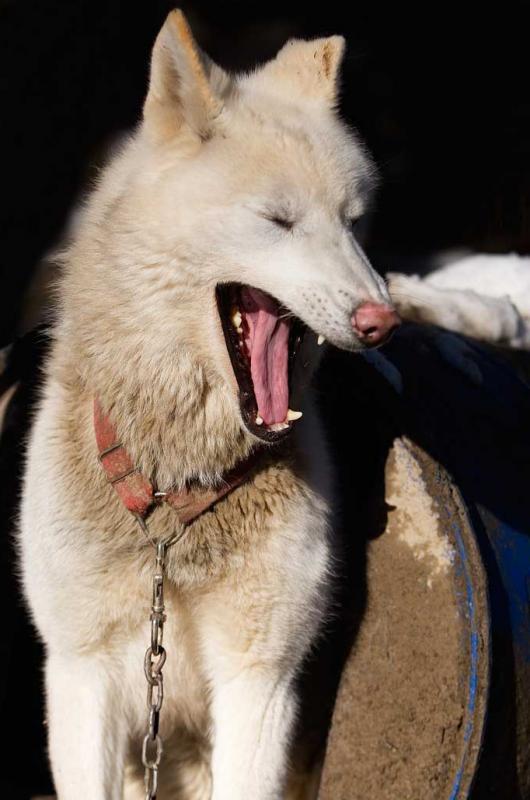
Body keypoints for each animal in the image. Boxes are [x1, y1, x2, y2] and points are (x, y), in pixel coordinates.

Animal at [18, 7, 398, 800]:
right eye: (280, 221)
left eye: (351, 223)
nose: (384, 320)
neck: (177, 498)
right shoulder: (80, 672)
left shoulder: (261, 678)